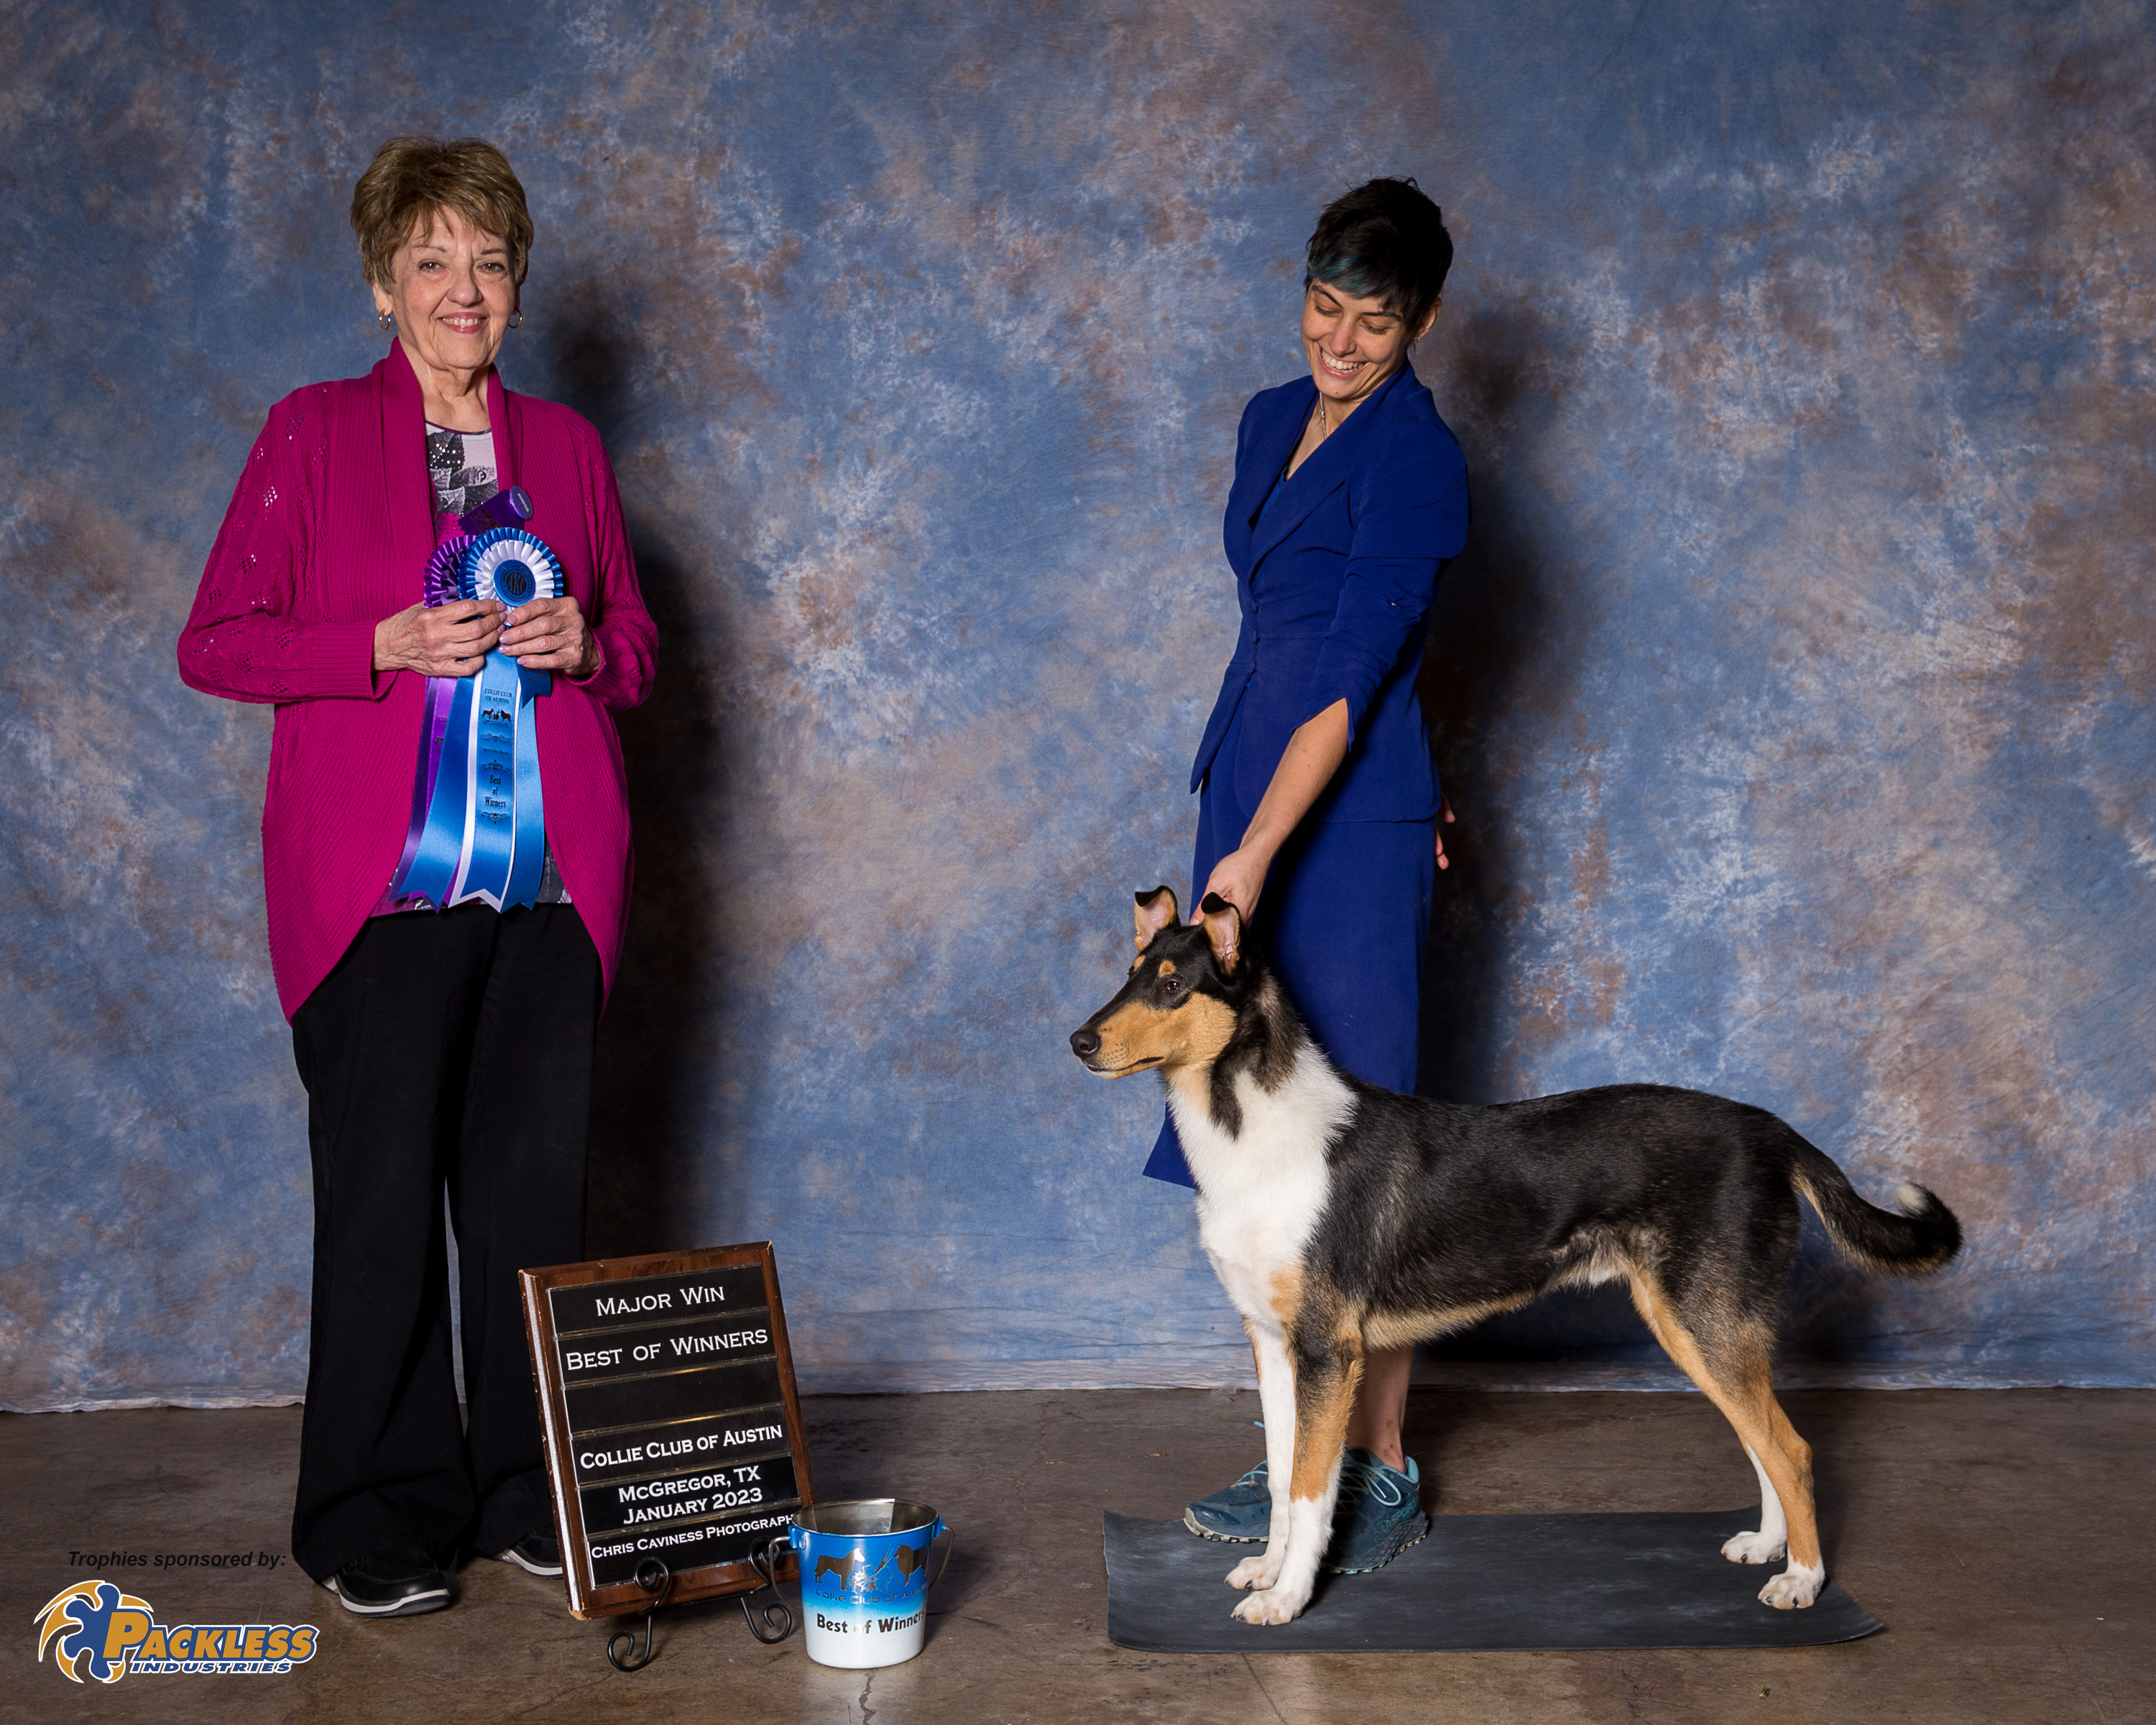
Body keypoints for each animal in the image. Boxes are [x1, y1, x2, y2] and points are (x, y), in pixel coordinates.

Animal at [1070, 886, 1962, 1626]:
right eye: (1128, 974)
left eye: (1172, 987)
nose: (1079, 1041)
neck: (1245, 1126)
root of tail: (1771, 1129)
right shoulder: (1272, 1342)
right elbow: (1285, 1476)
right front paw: (1267, 1568)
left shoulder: (1329, 1350)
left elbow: (1313, 1487)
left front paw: (1286, 1601)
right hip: (1699, 1327)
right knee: (1763, 1438)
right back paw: (1769, 1547)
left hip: (1706, 1319)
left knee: (1792, 1448)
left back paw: (1803, 1581)